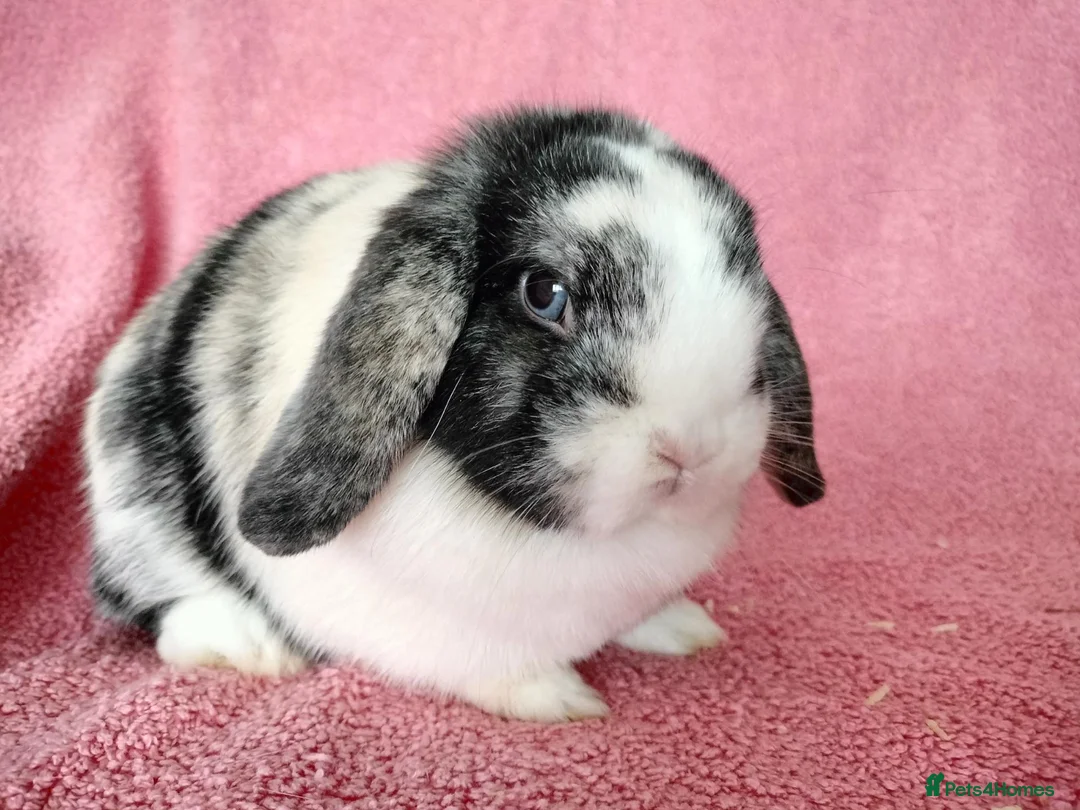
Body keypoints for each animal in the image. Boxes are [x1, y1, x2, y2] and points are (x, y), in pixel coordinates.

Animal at [82, 107, 825, 722]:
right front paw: (560, 700)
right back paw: (252, 647)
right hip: (138, 512)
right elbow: (494, 666)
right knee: (158, 605)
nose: (690, 448)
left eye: (749, 281)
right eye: (544, 293)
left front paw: (686, 629)